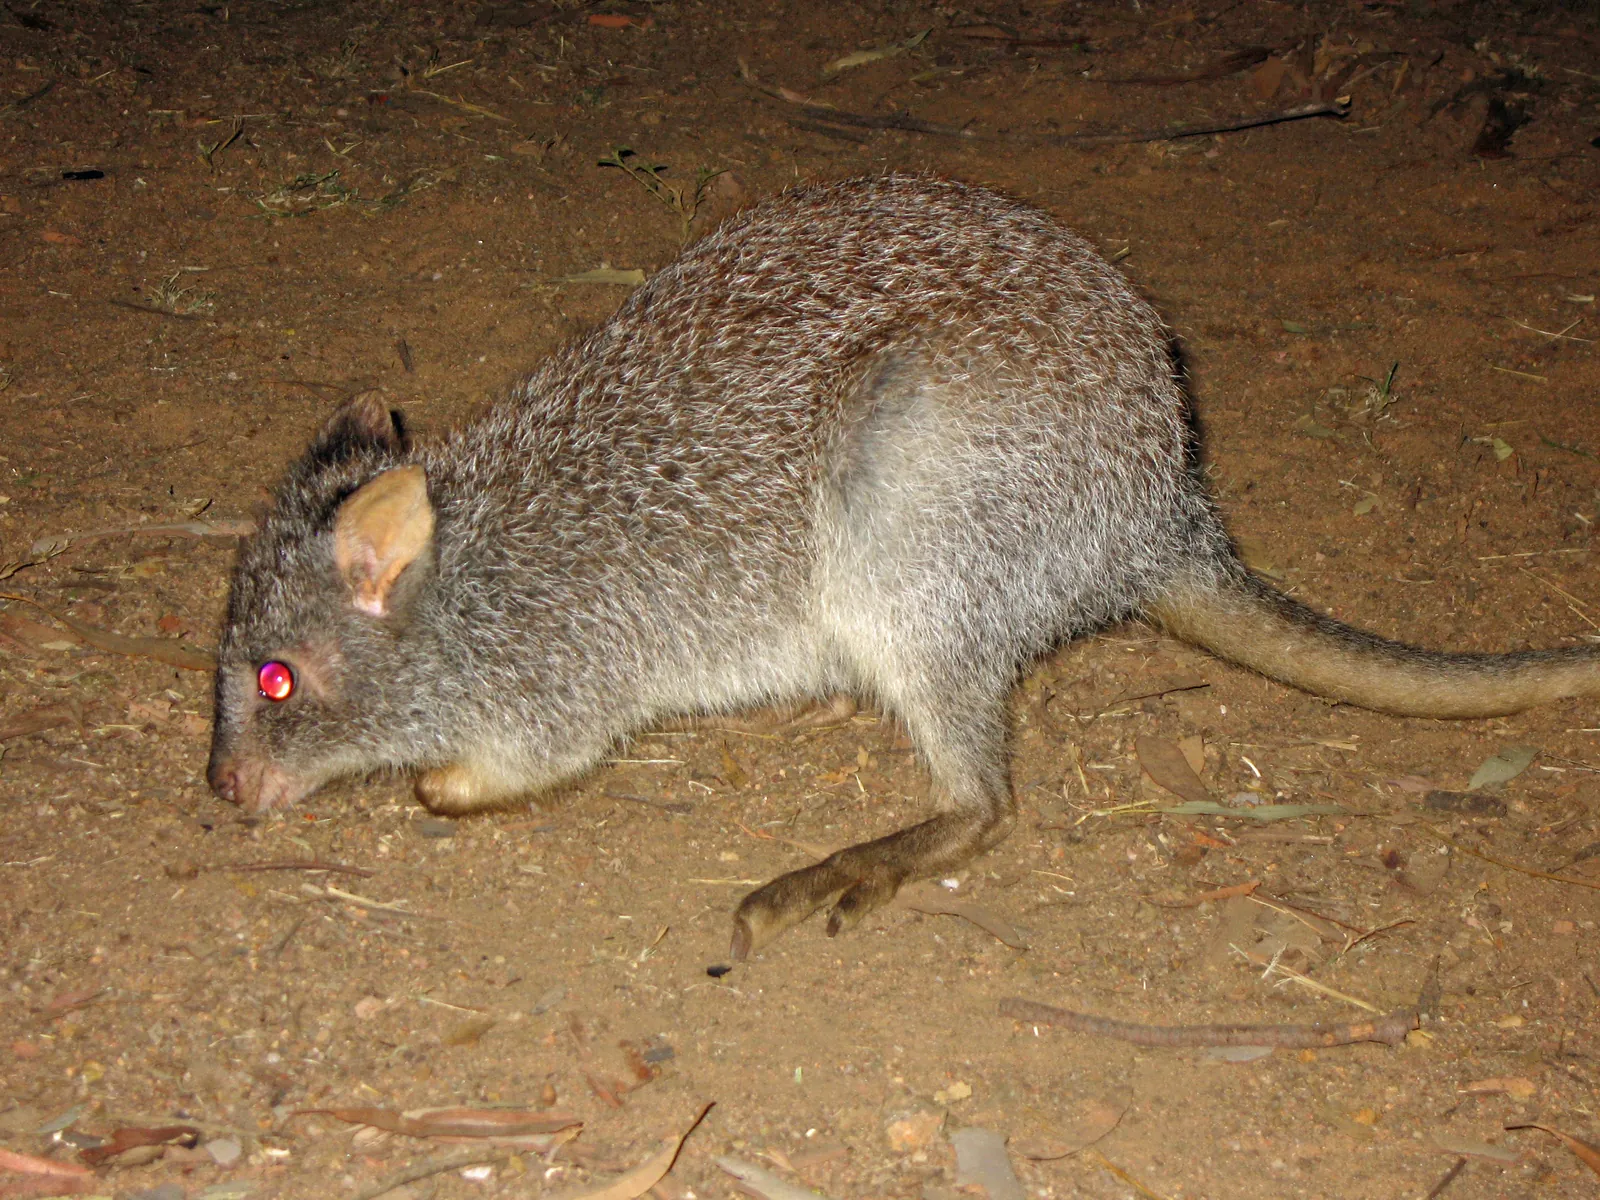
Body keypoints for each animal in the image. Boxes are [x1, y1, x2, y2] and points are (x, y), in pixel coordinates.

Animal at [208, 174, 1600, 959]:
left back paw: (832, 872)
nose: (222, 792)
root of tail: (1163, 516)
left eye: (275, 682)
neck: (468, 580)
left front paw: (435, 785)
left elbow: (510, 767)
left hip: (908, 520)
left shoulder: (553, 684)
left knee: (986, 803)